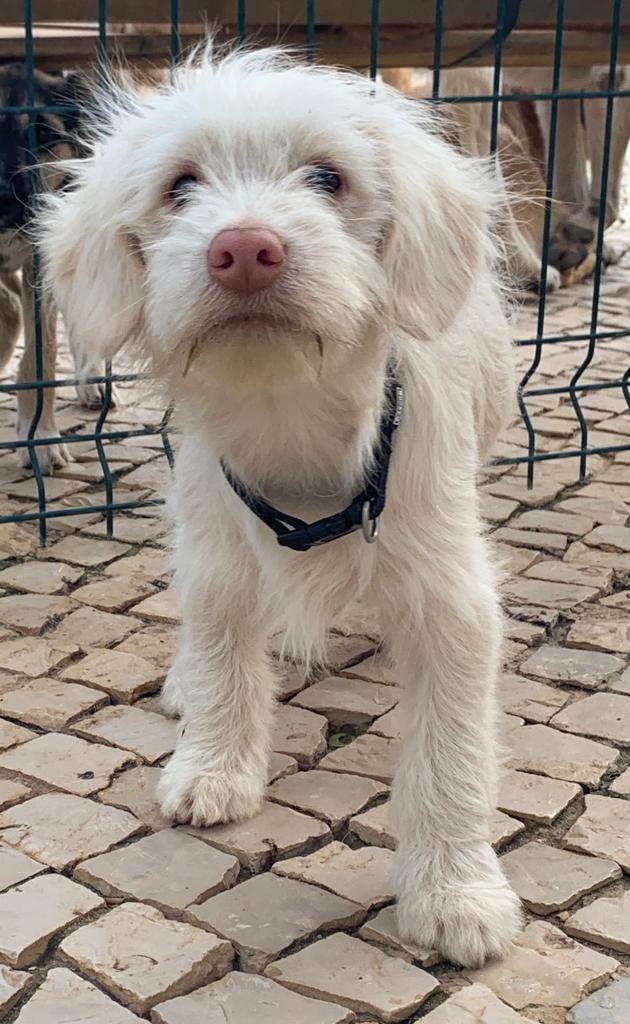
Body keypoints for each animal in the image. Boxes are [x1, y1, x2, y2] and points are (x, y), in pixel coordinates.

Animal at [39, 45, 523, 967]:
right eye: (181, 186)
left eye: (328, 177)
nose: (244, 249)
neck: (288, 418)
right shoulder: (216, 550)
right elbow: (225, 646)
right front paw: (215, 764)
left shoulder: (451, 598)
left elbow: (452, 754)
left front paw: (456, 893)